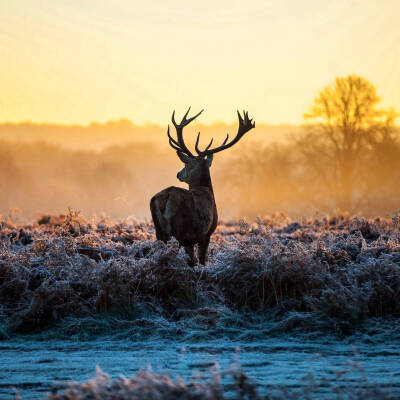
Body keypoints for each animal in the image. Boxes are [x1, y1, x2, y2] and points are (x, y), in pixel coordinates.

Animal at [148, 108, 255, 266]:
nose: (178, 174)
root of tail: (165, 198)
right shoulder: (206, 233)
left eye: (186, 164)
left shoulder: (191, 240)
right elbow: (201, 260)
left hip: (159, 232)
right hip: (178, 231)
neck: (206, 189)